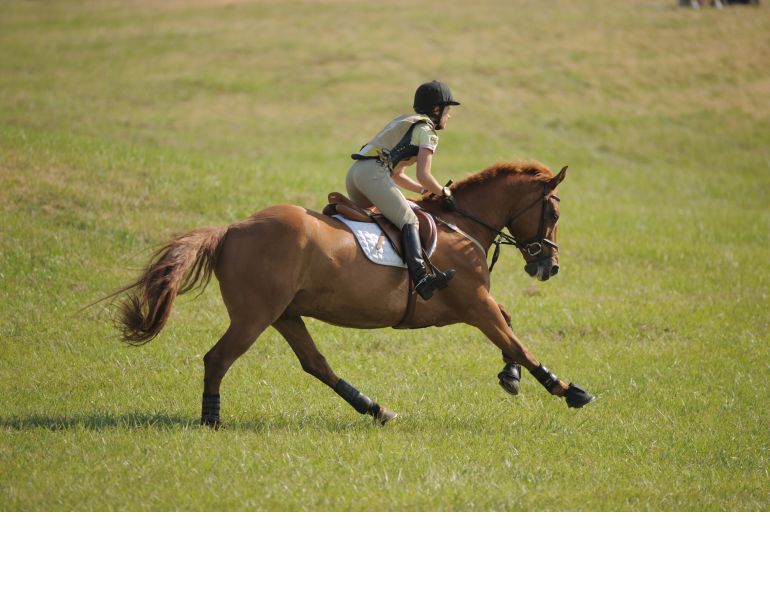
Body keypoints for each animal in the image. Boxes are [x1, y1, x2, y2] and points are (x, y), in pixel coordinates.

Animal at [115, 160, 595, 427]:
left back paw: (376, 409)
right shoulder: (475, 305)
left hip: (283, 313)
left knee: (315, 364)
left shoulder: (476, 304)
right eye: (553, 212)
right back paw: (211, 420)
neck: (464, 225)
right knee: (217, 359)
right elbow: (518, 341)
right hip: (254, 316)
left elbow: (510, 328)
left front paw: (511, 376)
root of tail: (232, 228)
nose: (549, 266)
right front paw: (567, 389)